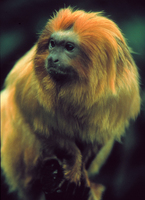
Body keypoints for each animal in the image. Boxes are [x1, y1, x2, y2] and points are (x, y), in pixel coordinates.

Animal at [0, 7, 140, 199]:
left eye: (69, 47)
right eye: (52, 44)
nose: (52, 58)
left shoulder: (122, 94)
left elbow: (99, 137)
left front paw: (83, 172)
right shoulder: (31, 87)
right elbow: (41, 125)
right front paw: (73, 162)